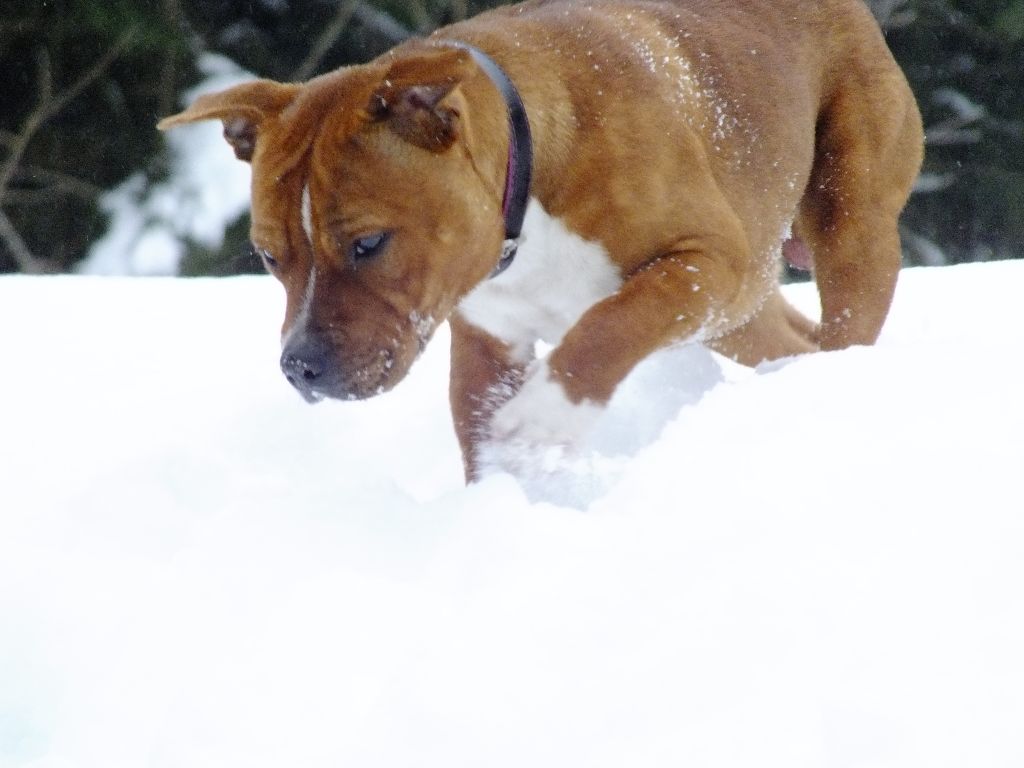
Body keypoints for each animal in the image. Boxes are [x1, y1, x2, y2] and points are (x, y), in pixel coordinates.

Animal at [157, 0, 921, 481]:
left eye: (369, 244)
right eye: (269, 256)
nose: (301, 367)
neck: (523, 204)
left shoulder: (706, 262)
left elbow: (611, 323)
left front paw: (546, 417)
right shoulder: (488, 342)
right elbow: (479, 430)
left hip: (845, 222)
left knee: (846, 317)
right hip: (740, 316)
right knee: (792, 341)